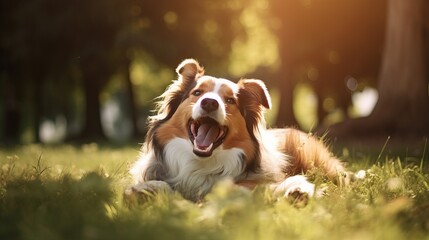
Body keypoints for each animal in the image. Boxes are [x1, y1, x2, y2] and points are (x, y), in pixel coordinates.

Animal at [124, 58, 348, 204]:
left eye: (230, 100)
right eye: (197, 93)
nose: (209, 103)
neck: (201, 164)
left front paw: (297, 189)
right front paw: (144, 190)